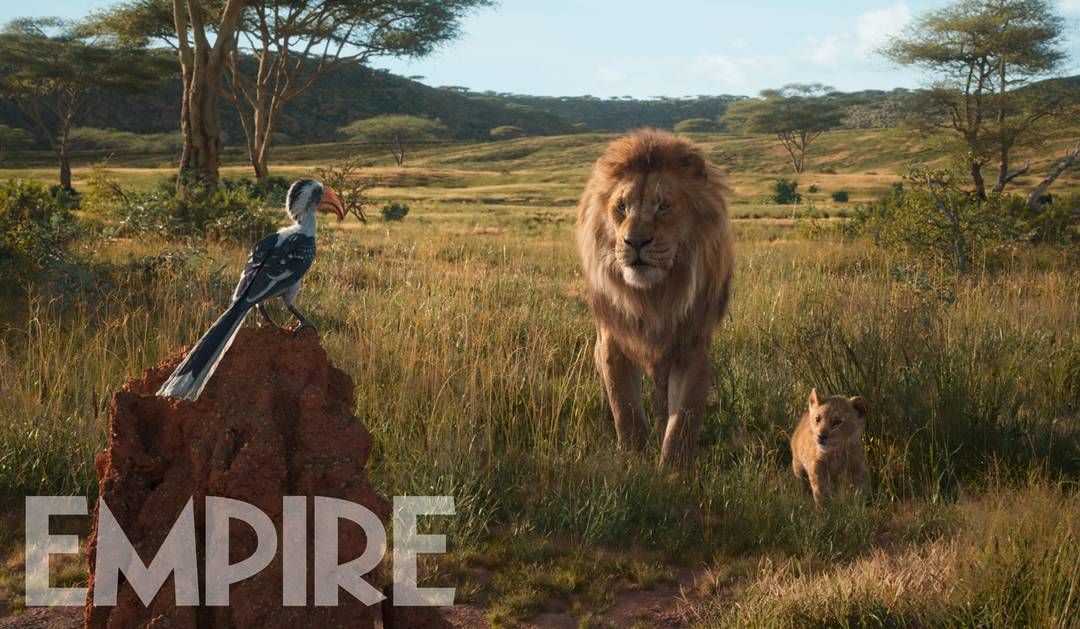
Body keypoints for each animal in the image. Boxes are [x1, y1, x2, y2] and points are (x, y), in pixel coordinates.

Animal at [576, 129, 733, 468]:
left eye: (663, 207)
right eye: (621, 207)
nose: (634, 242)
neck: (655, 297)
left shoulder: (692, 346)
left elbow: (683, 419)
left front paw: (674, 470)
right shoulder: (612, 340)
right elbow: (625, 408)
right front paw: (633, 462)